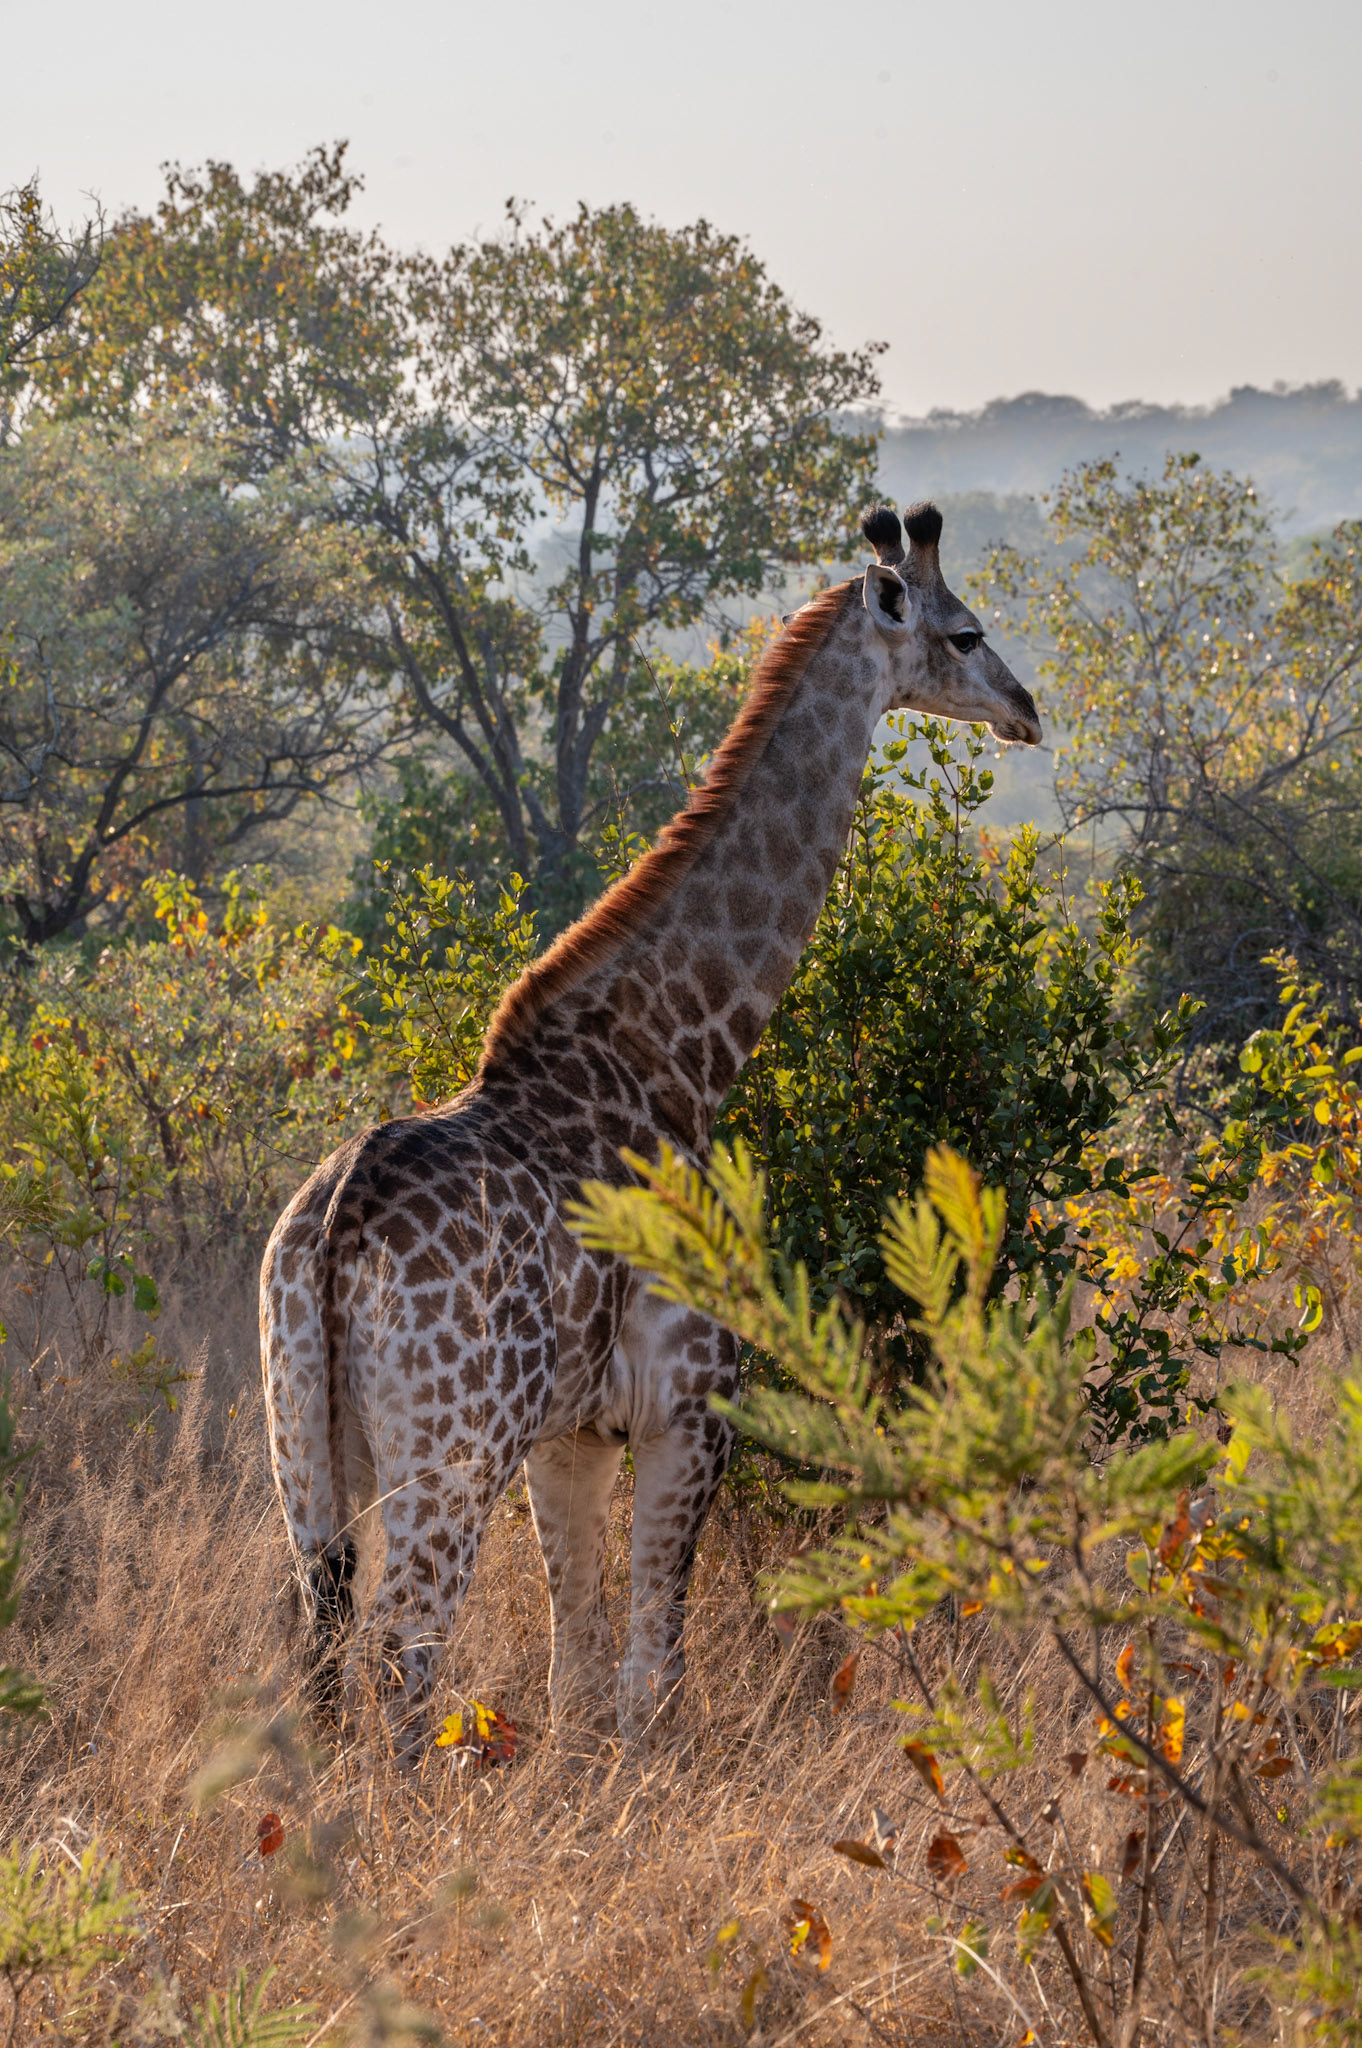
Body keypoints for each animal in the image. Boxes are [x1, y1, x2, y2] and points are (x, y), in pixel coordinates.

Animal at [260, 502, 1041, 1745]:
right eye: (964, 632)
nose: (1029, 709)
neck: (680, 1053)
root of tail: (333, 1231)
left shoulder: (569, 1434)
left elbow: (578, 1676)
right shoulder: (692, 1408)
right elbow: (648, 1676)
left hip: (305, 1452)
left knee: (322, 1658)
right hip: (447, 1451)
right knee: (401, 1663)